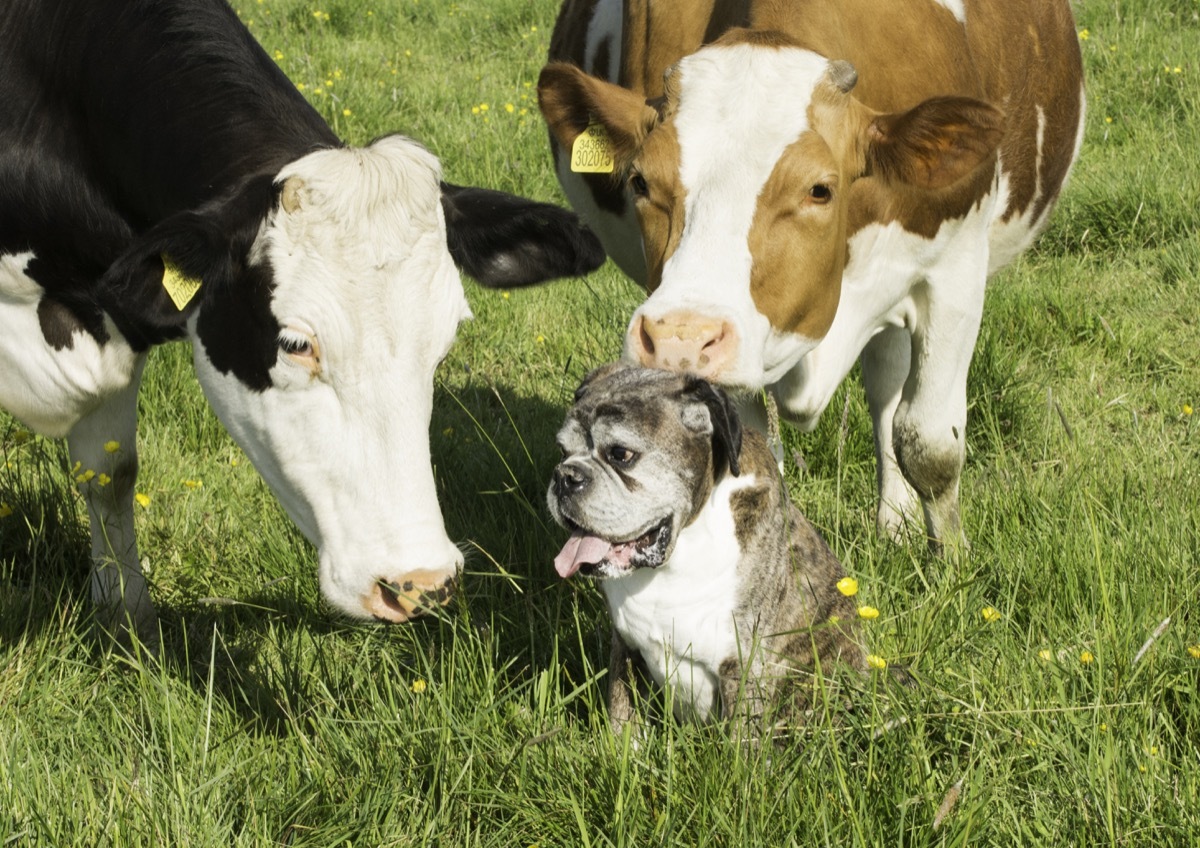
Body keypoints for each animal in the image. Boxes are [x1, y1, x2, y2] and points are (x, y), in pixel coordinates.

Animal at [540, 0, 1084, 551]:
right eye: (639, 181)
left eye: (819, 189)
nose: (679, 340)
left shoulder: (955, 269)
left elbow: (930, 444)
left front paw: (953, 559)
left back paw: (898, 524)